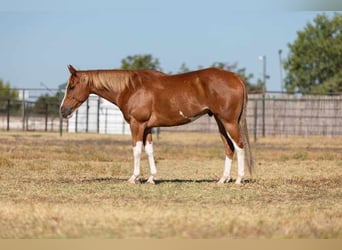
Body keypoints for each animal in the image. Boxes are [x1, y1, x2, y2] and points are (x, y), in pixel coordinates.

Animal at [60, 65, 254, 185]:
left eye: (71, 86)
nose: (63, 110)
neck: (131, 88)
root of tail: (235, 77)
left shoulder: (137, 124)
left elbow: (137, 150)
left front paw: (134, 178)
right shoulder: (147, 127)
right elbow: (149, 150)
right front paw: (151, 178)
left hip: (229, 122)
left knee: (239, 146)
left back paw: (239, 179)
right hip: (220, 122)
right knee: (229, 147)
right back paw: (223, 179)